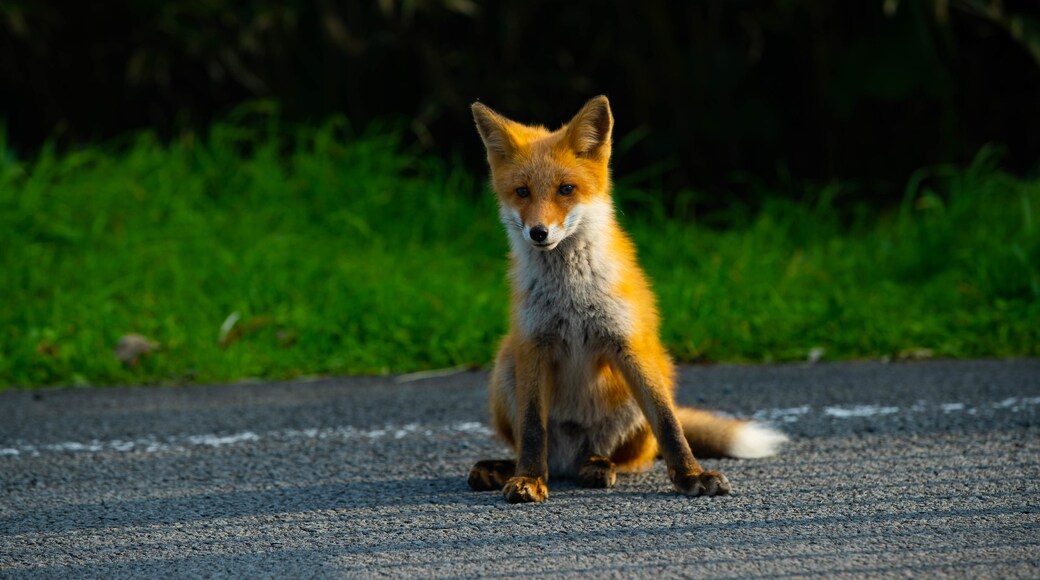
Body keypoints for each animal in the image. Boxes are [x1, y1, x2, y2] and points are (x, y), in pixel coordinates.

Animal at [467, 96, 782, 505]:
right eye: (522, 192)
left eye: (566, 189)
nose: (539, 233)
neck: (571, 295)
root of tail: (567, 460)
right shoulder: (534, 345)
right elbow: (534, 428)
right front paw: (529, 479)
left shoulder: (628, 344)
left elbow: (669, 423)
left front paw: (692, 476)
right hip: (506, 363)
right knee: (527, 445)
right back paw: (505, 469)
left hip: (652, 373)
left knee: (629, 453)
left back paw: (598, 466)